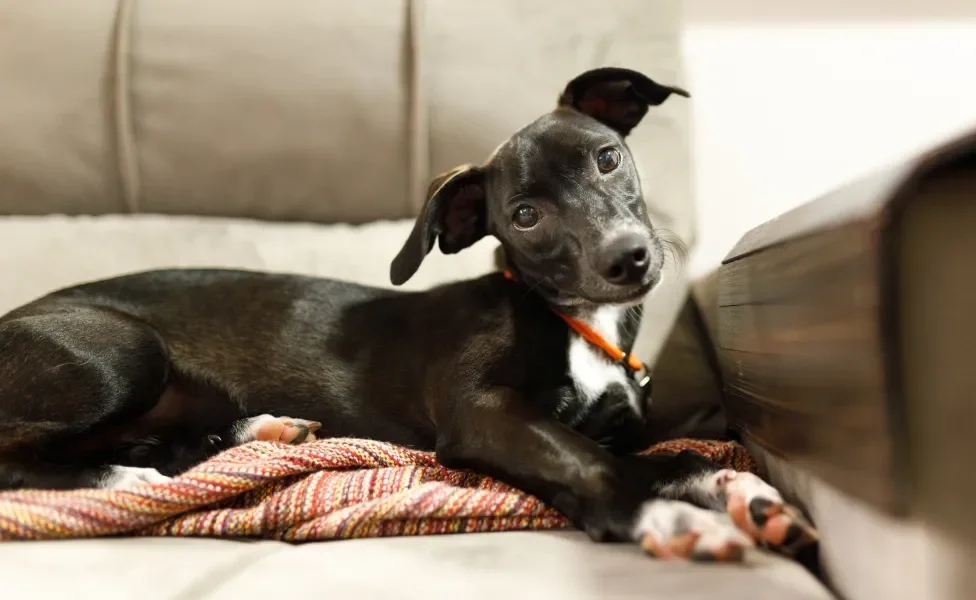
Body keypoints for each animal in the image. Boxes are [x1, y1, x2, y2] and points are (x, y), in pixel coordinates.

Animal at [0, 68, 816, 560]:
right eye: (524, 216)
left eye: (607, 157)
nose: (630, 259)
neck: (574, 322)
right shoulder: (484, 415)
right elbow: (588, 461)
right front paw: (665, 517)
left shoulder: (603, 430)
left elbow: (674, 456)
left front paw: (744, 494)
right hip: (123, 352)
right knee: (23, 455)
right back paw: (127, 480)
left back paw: (252, 432)